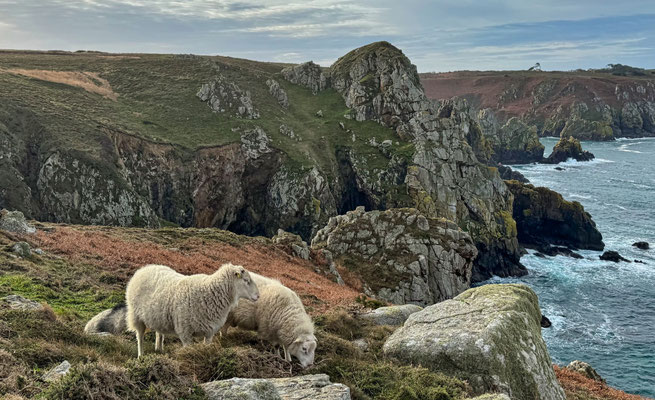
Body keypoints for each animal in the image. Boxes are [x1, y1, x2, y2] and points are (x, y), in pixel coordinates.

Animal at [125, 263, 259, 357]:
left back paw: (159, 350)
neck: (209, 293)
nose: (258, 296)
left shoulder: (209, 332)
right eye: (246, 281)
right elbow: (188, 351)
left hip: (158, 317)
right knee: (140, 337)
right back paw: (141, 356)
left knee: (159, 333)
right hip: (136, 316)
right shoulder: (185, 332)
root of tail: (145, 268)